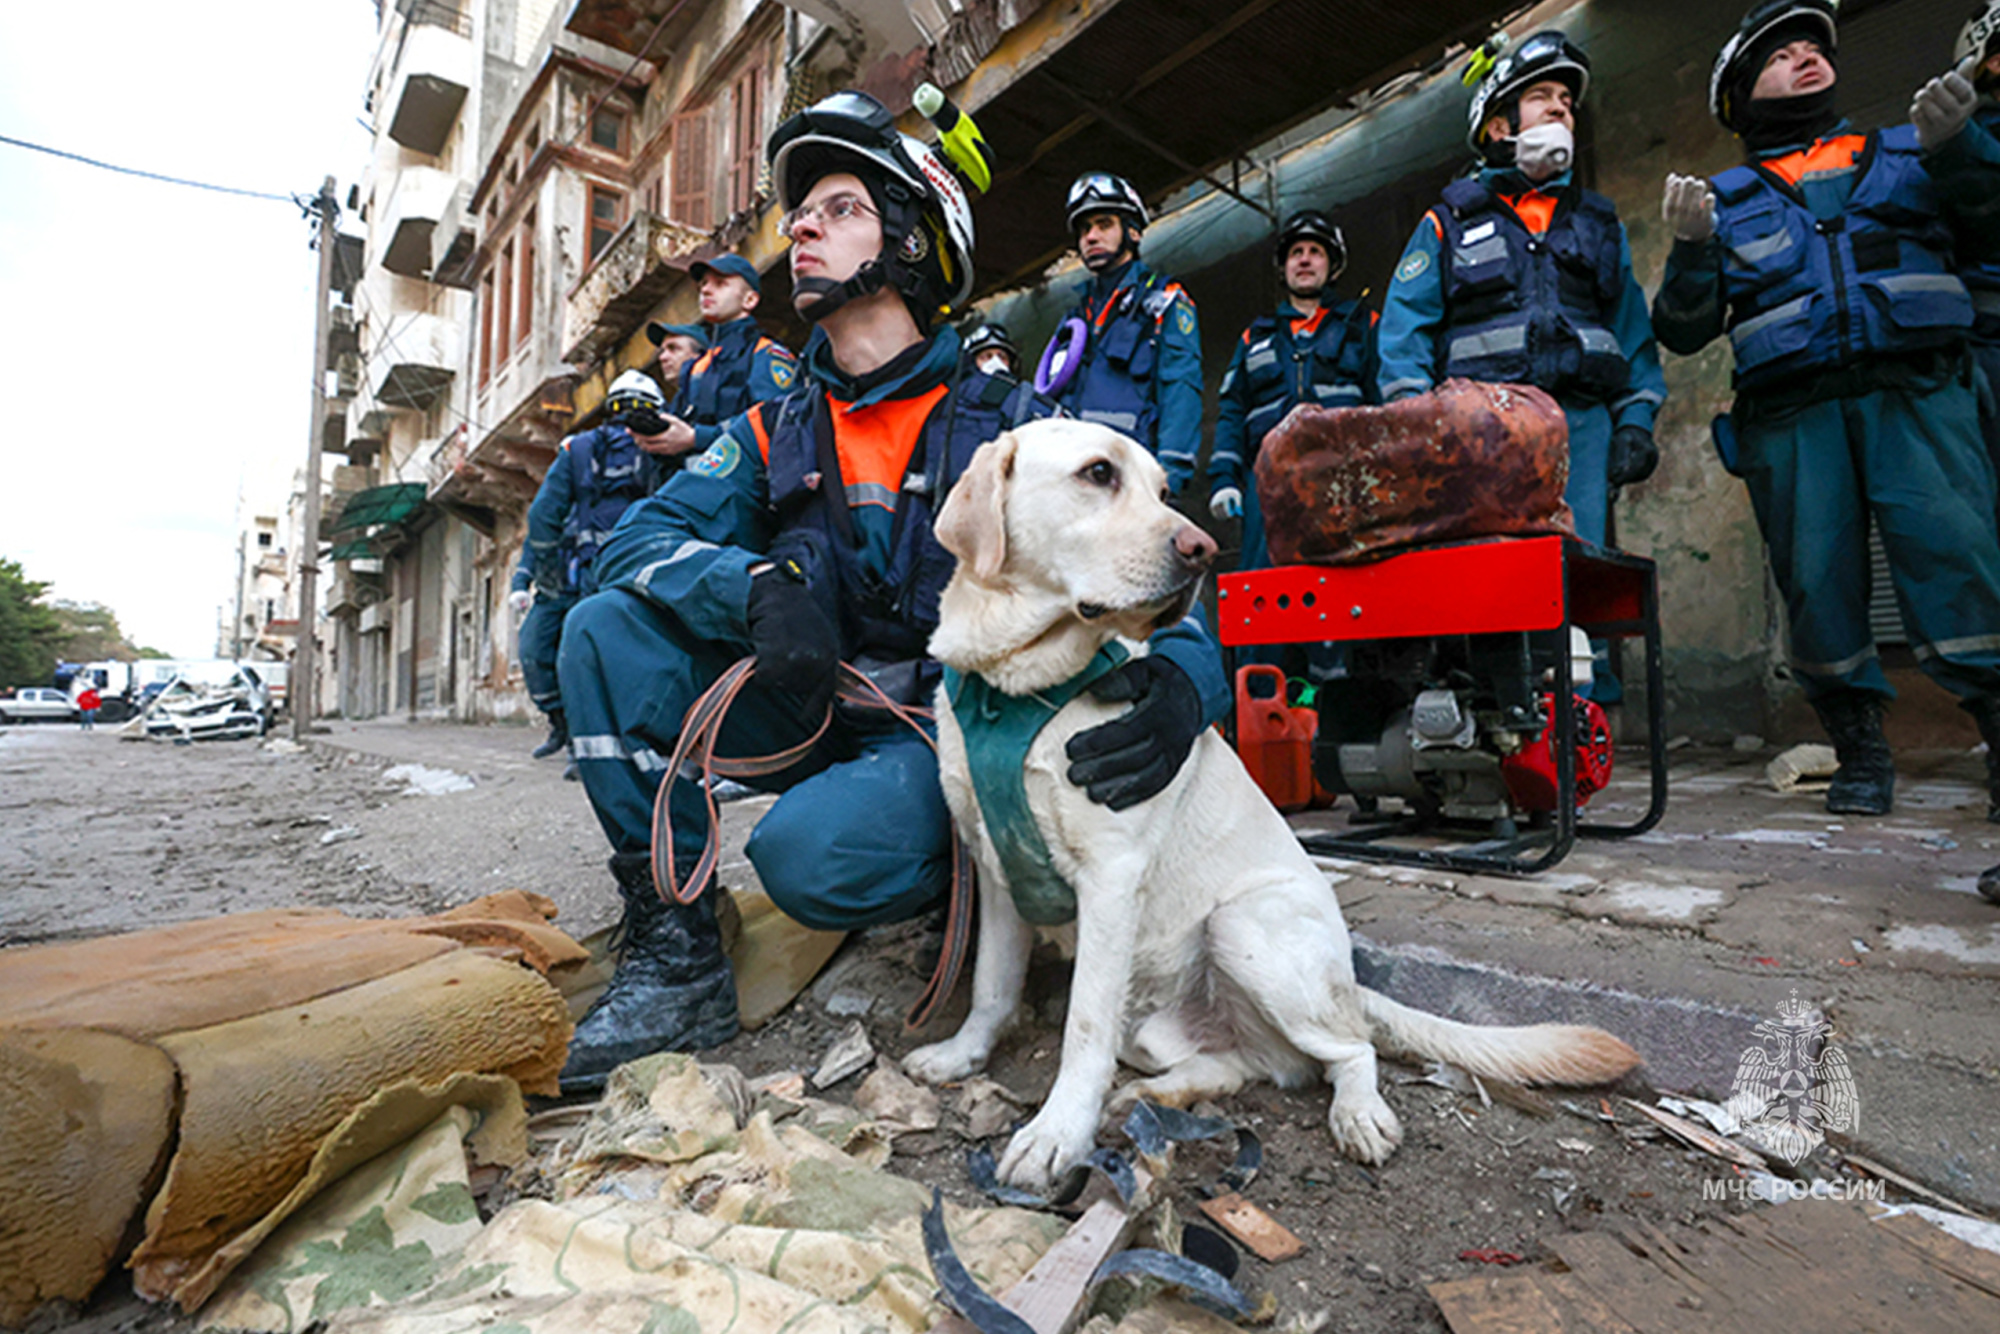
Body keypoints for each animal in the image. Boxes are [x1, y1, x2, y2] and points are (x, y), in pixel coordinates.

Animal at [908, 422, 1640, 1192]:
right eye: (1098, 473)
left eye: (1163, 490)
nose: (1201, 550)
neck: (1013, 682)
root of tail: (1346, 982)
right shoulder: (994, 870)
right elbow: (990, 984)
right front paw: (961, 1056)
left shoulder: (1110, 876)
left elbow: (1083, 1027)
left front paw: (1056, 1134)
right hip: (1162, 1024)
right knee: (1250, 1065)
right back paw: (1152, 1095)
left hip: (1243, 925)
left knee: (1348, 1051)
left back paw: (1357, 1114)